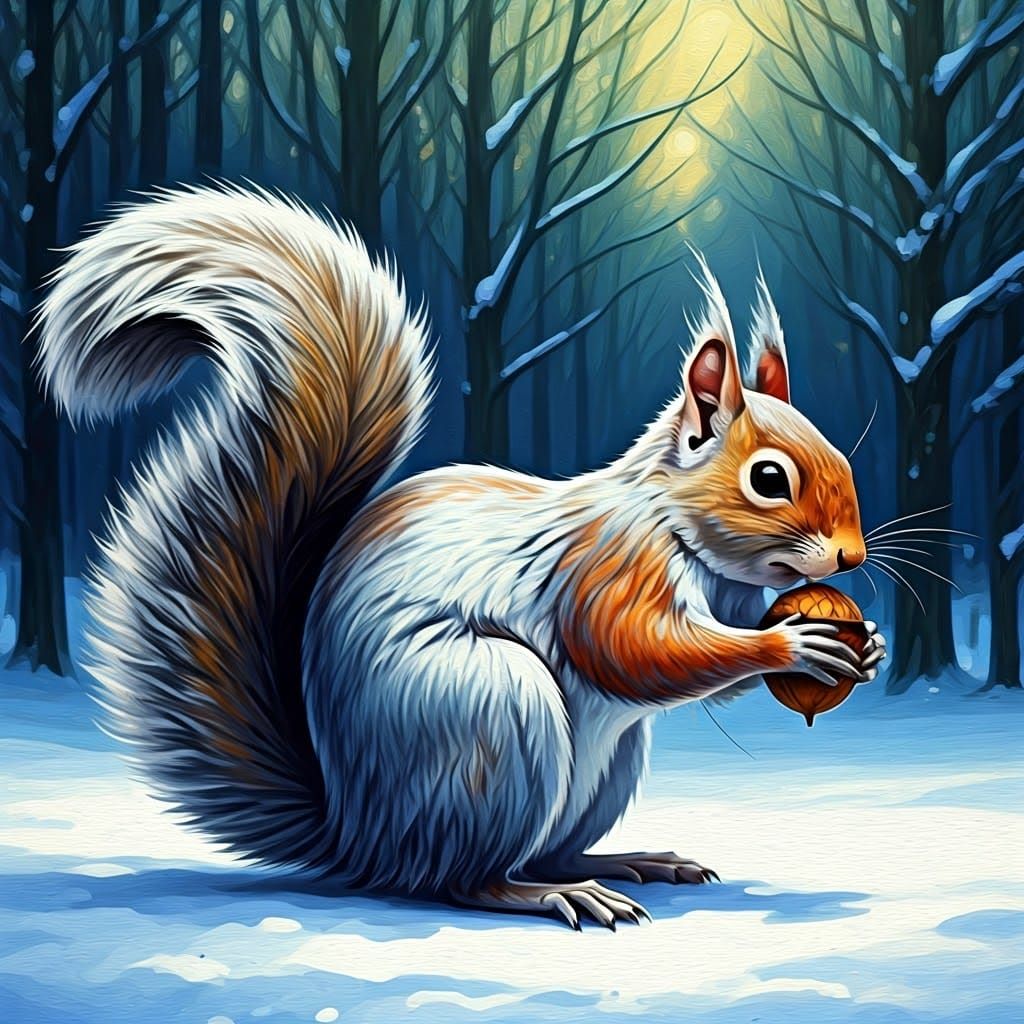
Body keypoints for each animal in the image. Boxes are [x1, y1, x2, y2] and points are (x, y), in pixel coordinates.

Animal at [35, 185, 886, 930]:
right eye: (768, 478)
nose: (849, 556)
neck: (679, 532)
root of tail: (361, 837)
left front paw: (863, 644)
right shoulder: (606, 567)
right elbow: (635, 651)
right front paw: (792, 642)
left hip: (599, 770)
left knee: (542, 851)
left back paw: (626, 861)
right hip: (493, 714)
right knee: (460, 880)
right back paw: (550, 895)